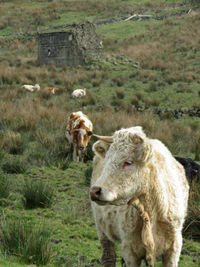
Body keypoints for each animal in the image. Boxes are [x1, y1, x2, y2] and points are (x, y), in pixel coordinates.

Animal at [90, 127, 189, 267]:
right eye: (107, 159)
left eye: (128, 162)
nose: (95, 191)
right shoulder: (130, 250)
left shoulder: (174, 249)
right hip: (102, 231)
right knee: (108, 257)